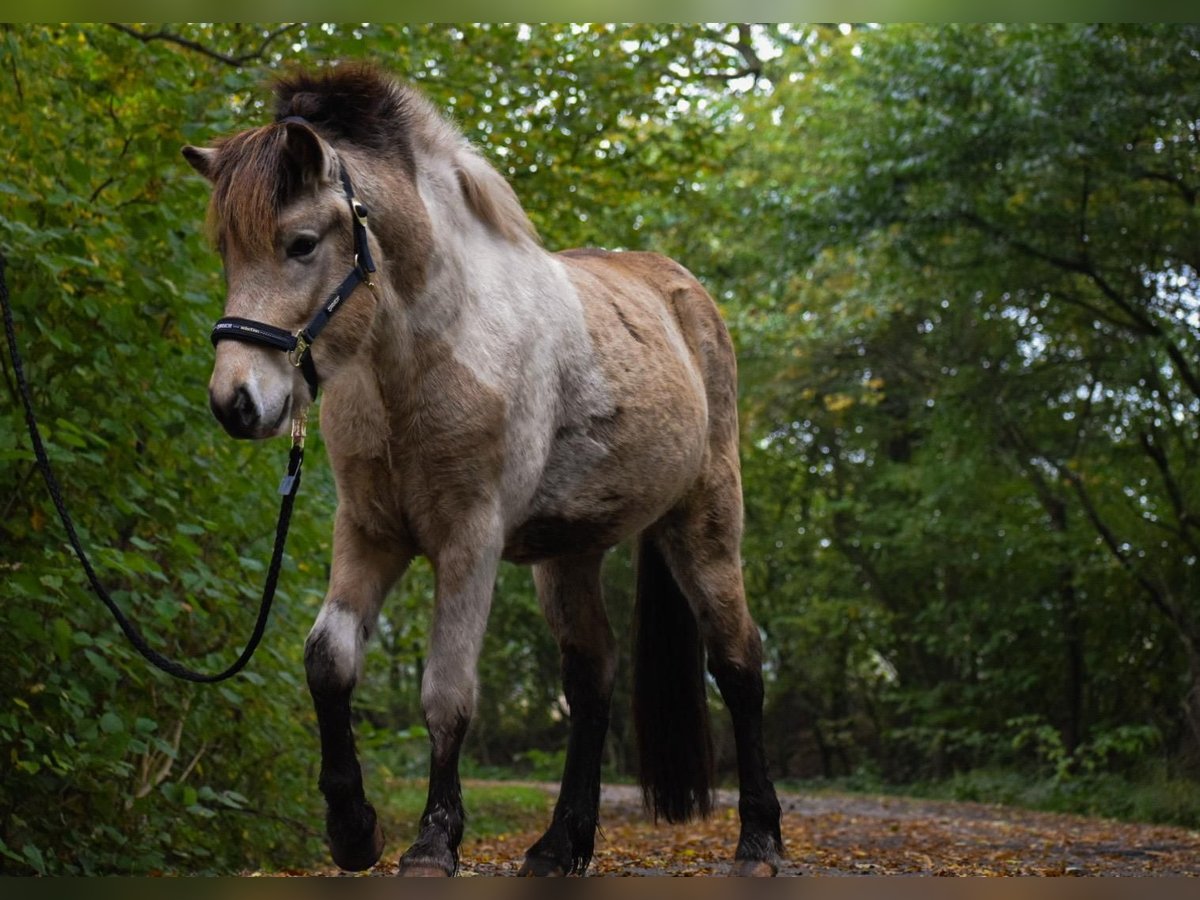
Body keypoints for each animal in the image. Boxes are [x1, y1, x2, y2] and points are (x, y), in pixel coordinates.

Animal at [182, 65, 782, 883]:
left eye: (300, 243)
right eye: (226, 252)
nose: (237, 402)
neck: (434, 349)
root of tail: (684, 296)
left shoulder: (470, 540)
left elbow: (447, 692)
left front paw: (434, 842)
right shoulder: (369, 533)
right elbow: (328, 660)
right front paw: (353, 829)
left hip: (706, 523)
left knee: (739, 662)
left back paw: (759, 841)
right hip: (571, 553)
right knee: (590, 679)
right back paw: (560, 846)